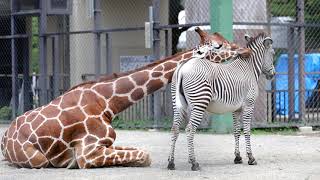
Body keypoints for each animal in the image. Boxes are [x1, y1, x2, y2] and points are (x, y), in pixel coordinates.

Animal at [168, 33, 276, 171]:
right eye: (273, 53)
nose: (273, 74)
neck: (249, 69)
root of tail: (182, 67)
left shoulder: (236, 109)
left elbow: (236, 131)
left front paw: (238, 157)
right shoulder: (249, 105)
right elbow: (247, 130)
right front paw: (251, 158)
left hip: (178, 105)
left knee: (175, 129)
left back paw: (171, 162)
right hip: (199, 103)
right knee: (190, 129)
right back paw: (194, 162)